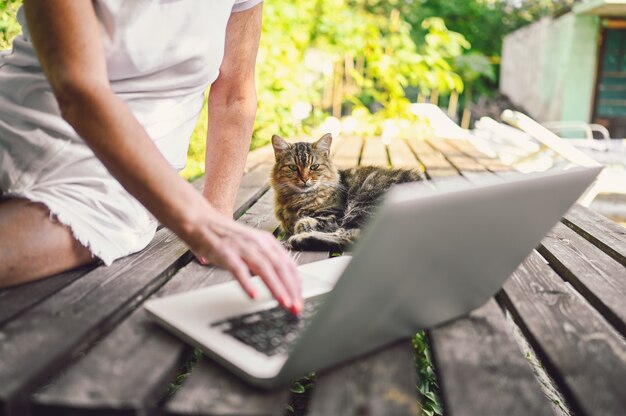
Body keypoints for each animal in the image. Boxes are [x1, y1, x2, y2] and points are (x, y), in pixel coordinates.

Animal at [270, 133, 422, 250]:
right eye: (293, 167)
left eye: (314, 166)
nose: (304, 179)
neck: (299, 199)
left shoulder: (334, 215)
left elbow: (304, 223)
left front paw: (302, 228)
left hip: (362, 205)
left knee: (350, 237)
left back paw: (299, 239)